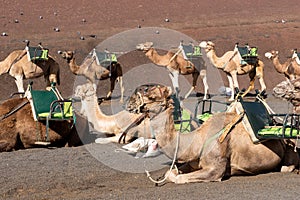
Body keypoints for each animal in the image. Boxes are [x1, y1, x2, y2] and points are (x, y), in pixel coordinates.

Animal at [129, 90, 300, 184]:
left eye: (151, 96)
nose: (130, 102)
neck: (197, 140)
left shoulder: (215, 169)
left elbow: (179, 178)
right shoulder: (193, 163)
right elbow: (170, 173)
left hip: (291, 145)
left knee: (285, 167)